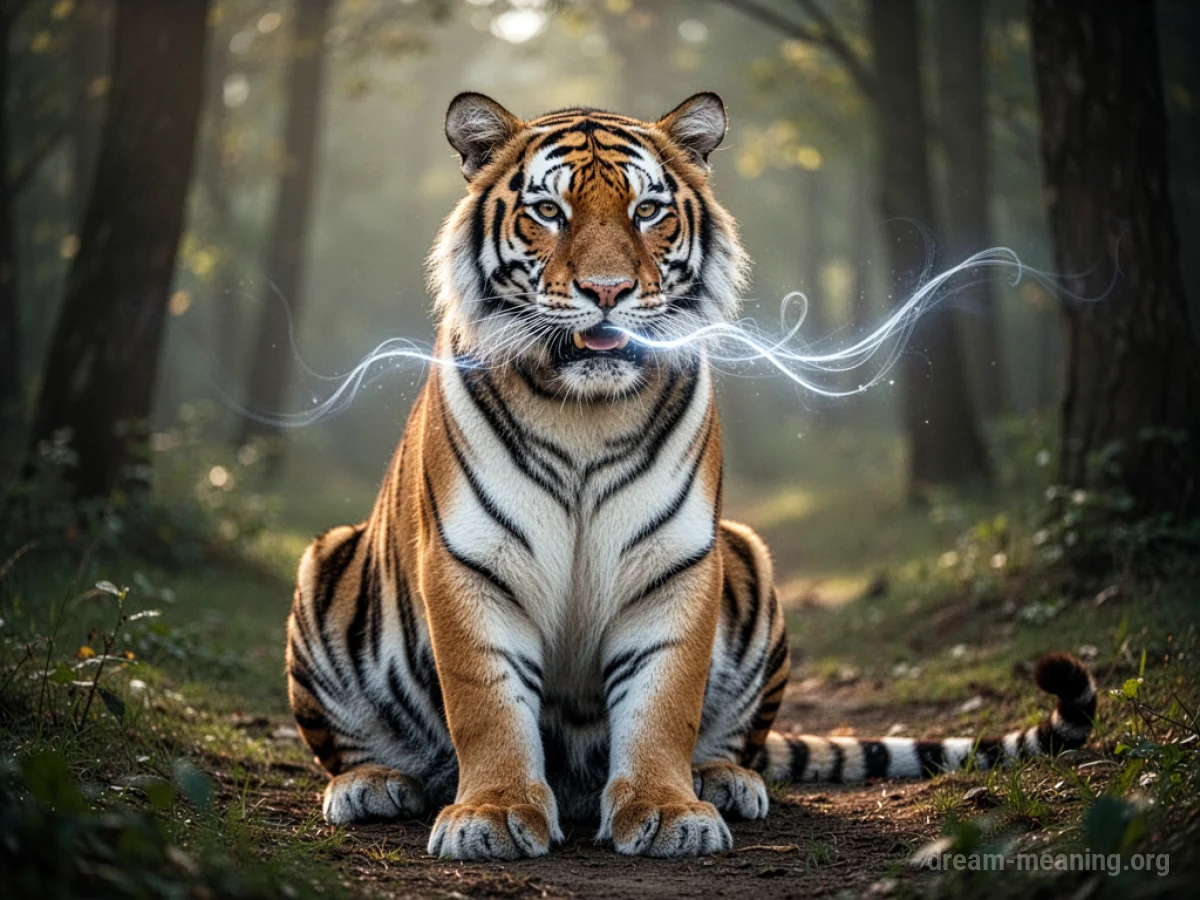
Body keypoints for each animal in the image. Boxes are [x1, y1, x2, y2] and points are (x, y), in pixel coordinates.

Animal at [285, 92, 1097, 861]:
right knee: (349, 748)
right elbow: (485, 701)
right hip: (325, 561)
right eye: (549, 211)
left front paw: (668, 811)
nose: (606, 291)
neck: (583, 412)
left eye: (647, 211)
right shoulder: (469, 561)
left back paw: (723, 779)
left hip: (748, 554)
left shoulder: (674, 559)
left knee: (738, 741)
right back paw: (372, 785)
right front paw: (491, 815)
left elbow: (663, 698)